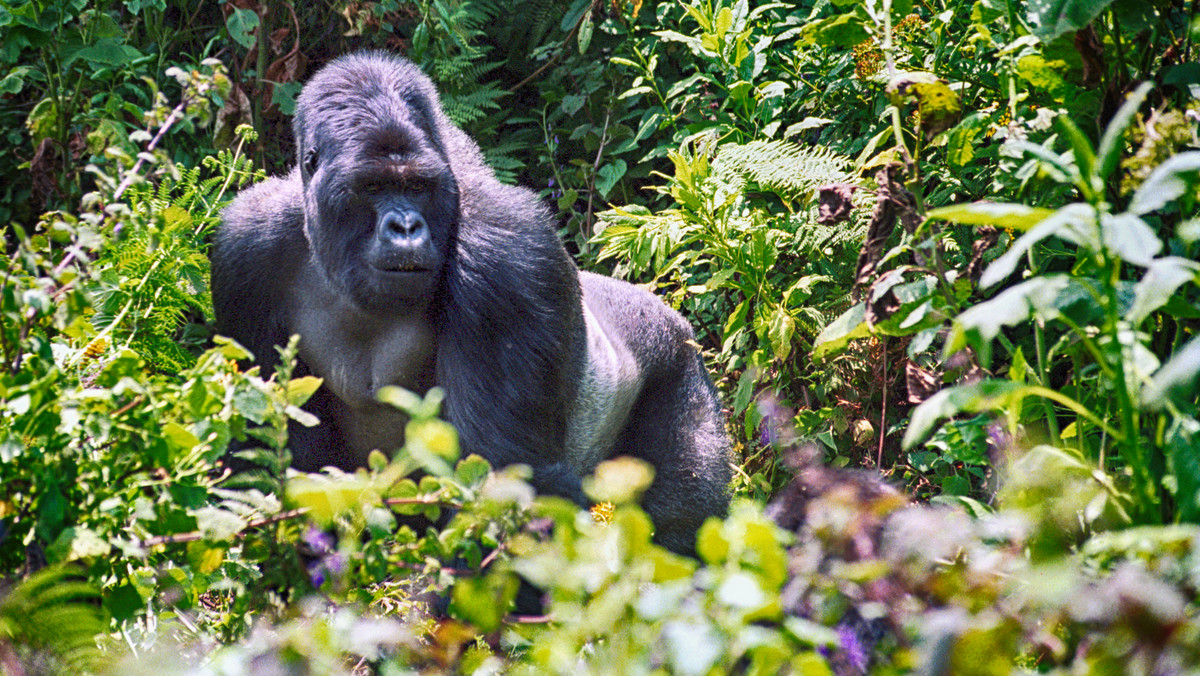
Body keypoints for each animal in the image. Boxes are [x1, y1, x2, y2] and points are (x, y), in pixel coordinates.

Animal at [213, 48, 729, 554]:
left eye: (417, 186)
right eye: (373, 186)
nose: (405, 227)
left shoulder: (505, 255)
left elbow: (502, 482)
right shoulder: (245, 249)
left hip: (680, 364)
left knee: (682, 528)